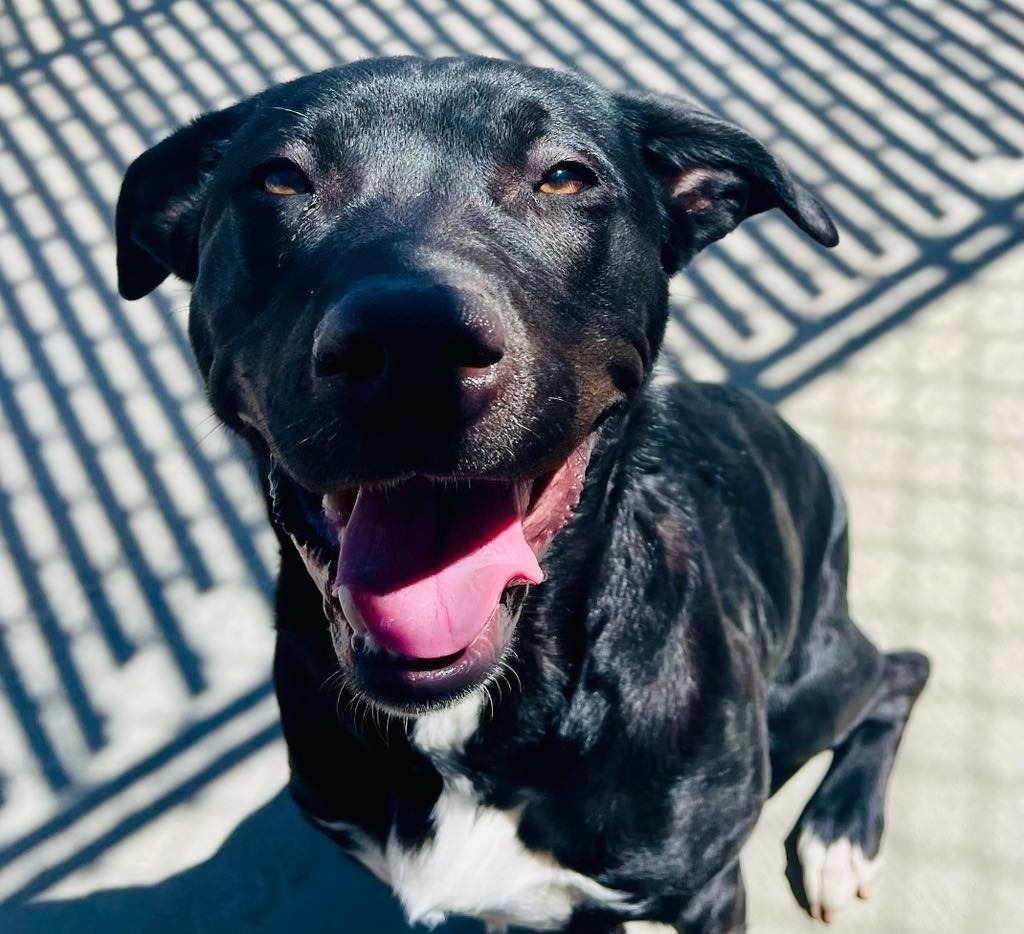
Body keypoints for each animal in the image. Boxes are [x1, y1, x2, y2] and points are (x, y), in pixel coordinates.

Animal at [114, 56, 929, 925]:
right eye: (280, 178)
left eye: (565, 178)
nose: (412, 348)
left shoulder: (706, 892)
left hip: (808, 688)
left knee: (900, 671)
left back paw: (838, 833)